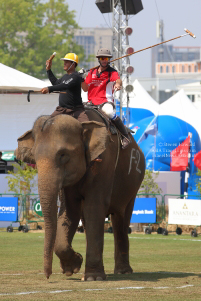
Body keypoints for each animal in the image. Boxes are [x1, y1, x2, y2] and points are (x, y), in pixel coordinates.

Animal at [15, 111, 144, 280]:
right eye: (34, 158)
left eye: (63, 155)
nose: (48, 276)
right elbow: (70, 210)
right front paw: (73, 267)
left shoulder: (104, 163)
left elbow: (94, 207)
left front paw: (93, 277)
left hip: (132, 185)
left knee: (121, 219)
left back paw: (123, 271)